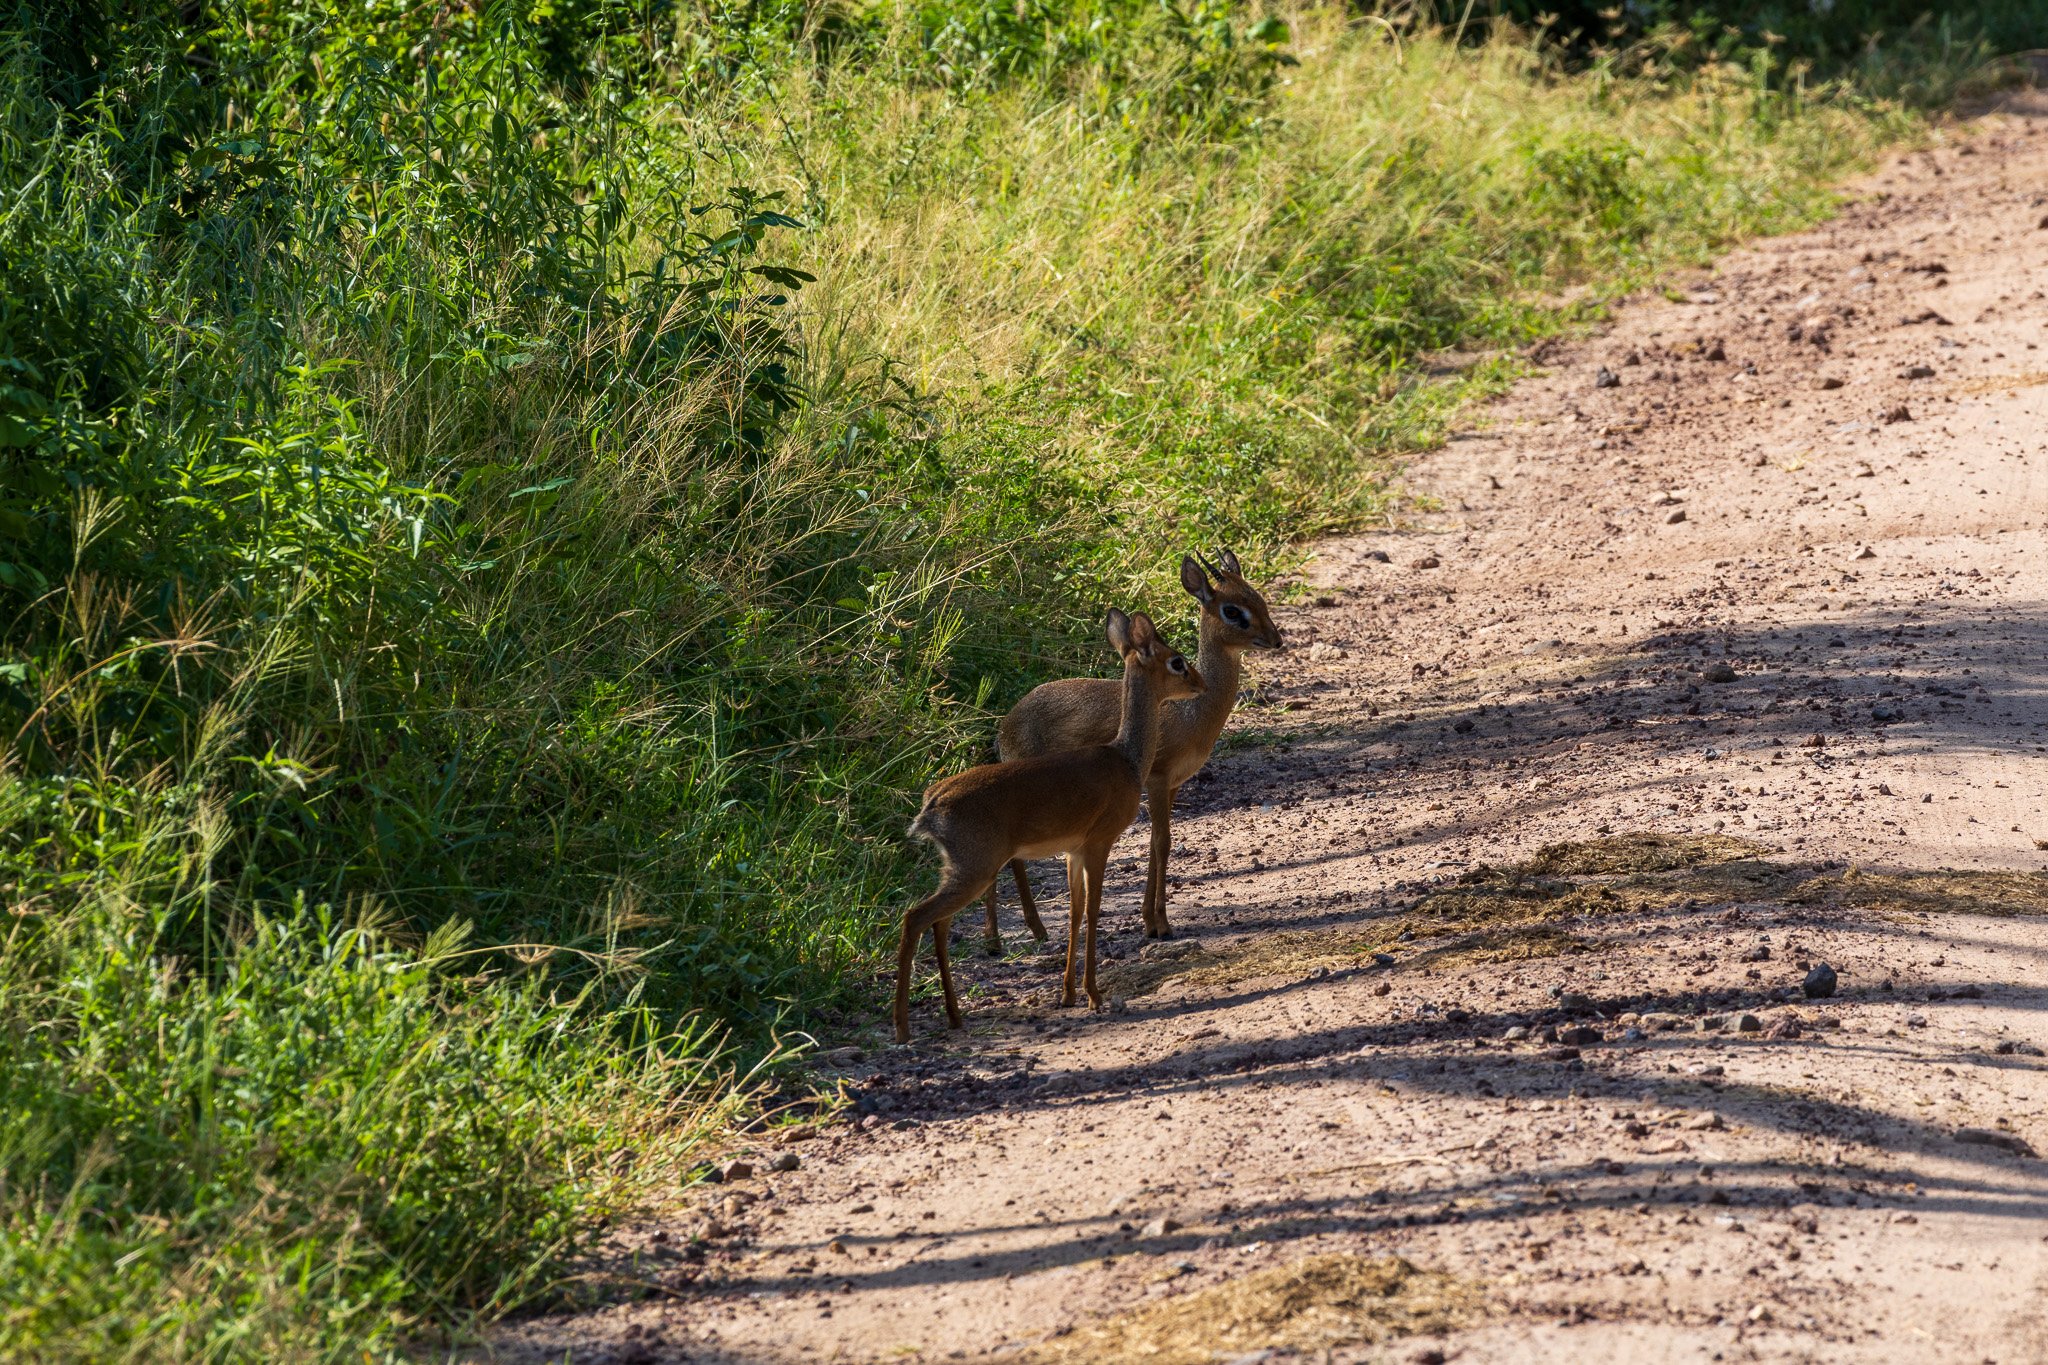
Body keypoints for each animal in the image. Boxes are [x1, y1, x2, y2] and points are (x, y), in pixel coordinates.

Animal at [897, 609, 1196, 1047]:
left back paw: (953, 1015)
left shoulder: (1073, 850)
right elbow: (1093, 909)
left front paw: (1069, 992)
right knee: (915, 917)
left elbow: (1074, 912)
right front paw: (1093, 994)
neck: (1126, 760)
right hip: (976, 867)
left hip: (960, 868)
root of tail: (931, 805)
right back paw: (902, 1026)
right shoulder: (1099, 842)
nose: (1199, 683)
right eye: (1176, 661)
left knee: (938, 920)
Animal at [987, 548, 1277, 945]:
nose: (1276, 639)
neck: (1191, 714)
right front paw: (1162, 924)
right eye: (1232, 610)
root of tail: (1006, 726)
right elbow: (1162, 842)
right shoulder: (1156, 780)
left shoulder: (1173, 785)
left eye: (1258, 597)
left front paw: (1150, 920)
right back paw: (1032, 930)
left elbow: (1156, 844)